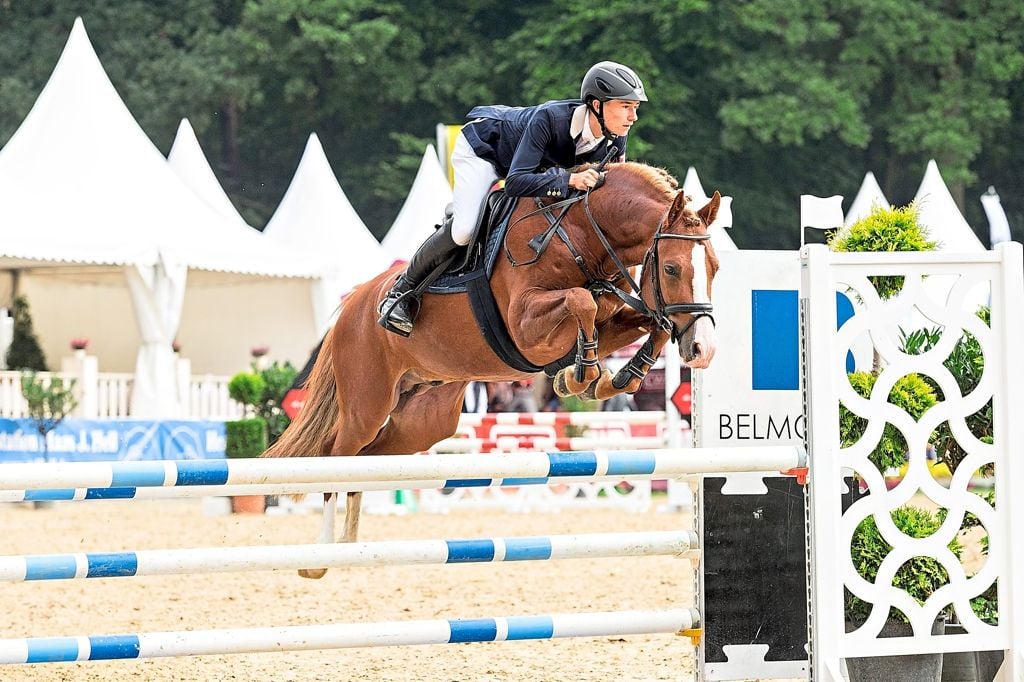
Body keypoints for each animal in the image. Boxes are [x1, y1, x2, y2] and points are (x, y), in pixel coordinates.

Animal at [268, 161, 724, 577]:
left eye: (715, 267)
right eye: (671, 268)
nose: (702, 349)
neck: (581, 233)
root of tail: (353, 304)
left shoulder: (612, 320)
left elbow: (651, 322)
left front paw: (610, 377)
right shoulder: (526, 325)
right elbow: (582, 301)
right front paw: (583, 374)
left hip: (423, 420)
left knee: (366, 460)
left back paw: (351, 547)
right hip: (368, 402)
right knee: (336, 454)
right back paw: (319, 558)